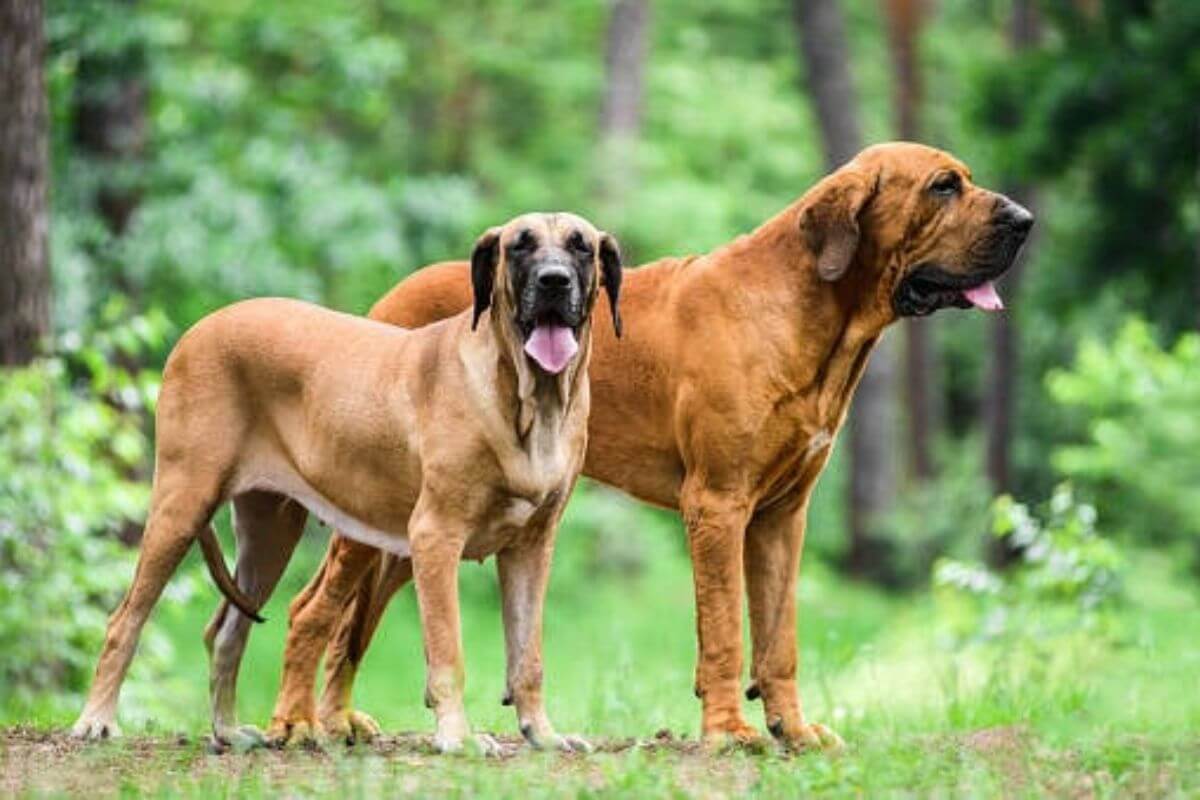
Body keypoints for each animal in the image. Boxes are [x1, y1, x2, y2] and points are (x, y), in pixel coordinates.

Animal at [73, 212, 624, 758]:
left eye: (581, 247)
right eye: (520, 246)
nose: (554, 281)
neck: (531, 401)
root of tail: (200, 327)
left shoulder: (532, 547)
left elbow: (528, 656)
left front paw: (542, 733)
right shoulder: (436, 536)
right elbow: (448, 649)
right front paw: (459, 737)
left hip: (269, 536)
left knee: (226, 629)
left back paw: (228, 730)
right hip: (182, 504)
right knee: (124, 620)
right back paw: (96, 720)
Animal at [211, 139, 1027, 753]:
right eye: (945, 186)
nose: (1025, 220)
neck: (808, 312)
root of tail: (381, 305)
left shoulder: (780, 517)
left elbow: (779, 638)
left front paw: (792, 730)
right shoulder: (718, 506)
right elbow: (725, 628)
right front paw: (729, 731)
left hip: (402, 530)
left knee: (351, 618)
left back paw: (338, 718)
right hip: (375, 515)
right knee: (313, 610)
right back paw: (295, 724)